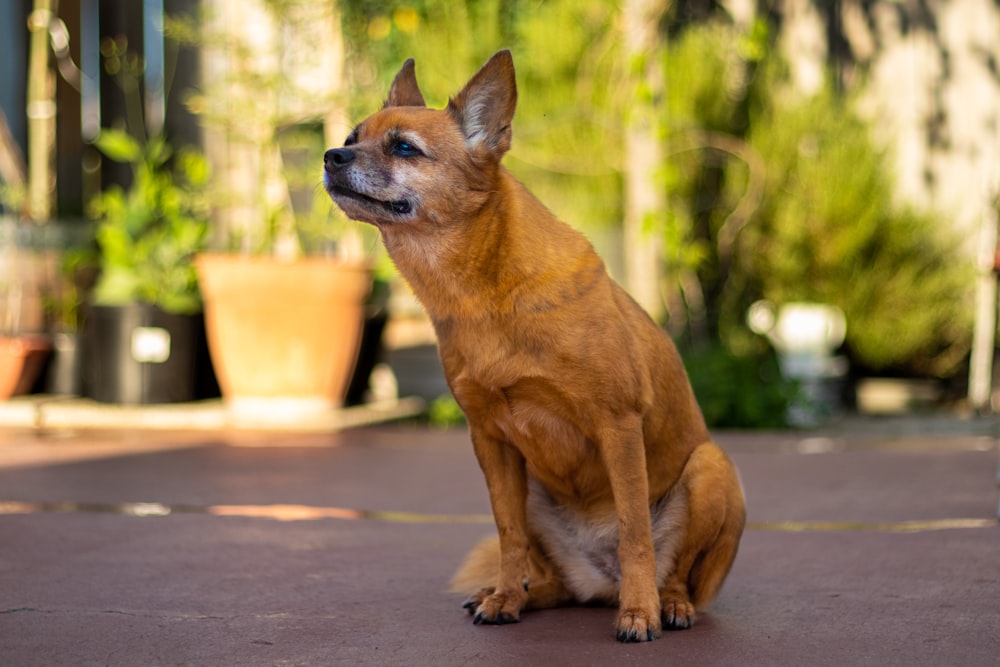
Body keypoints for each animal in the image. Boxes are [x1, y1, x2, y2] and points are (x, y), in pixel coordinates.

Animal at [324, 49, 748, 644]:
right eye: (351, 137)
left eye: (404, 147)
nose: (330, 155)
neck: (483, 293)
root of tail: (601, 584)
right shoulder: (492, 444)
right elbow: (508, 535)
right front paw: (505, 596)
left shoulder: (618, 426)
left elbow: (635, 532)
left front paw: (638, 614)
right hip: (536, 495)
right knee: (553, 577)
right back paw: (526, 593)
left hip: (712, 469)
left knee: (676, 572)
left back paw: (665, 602)